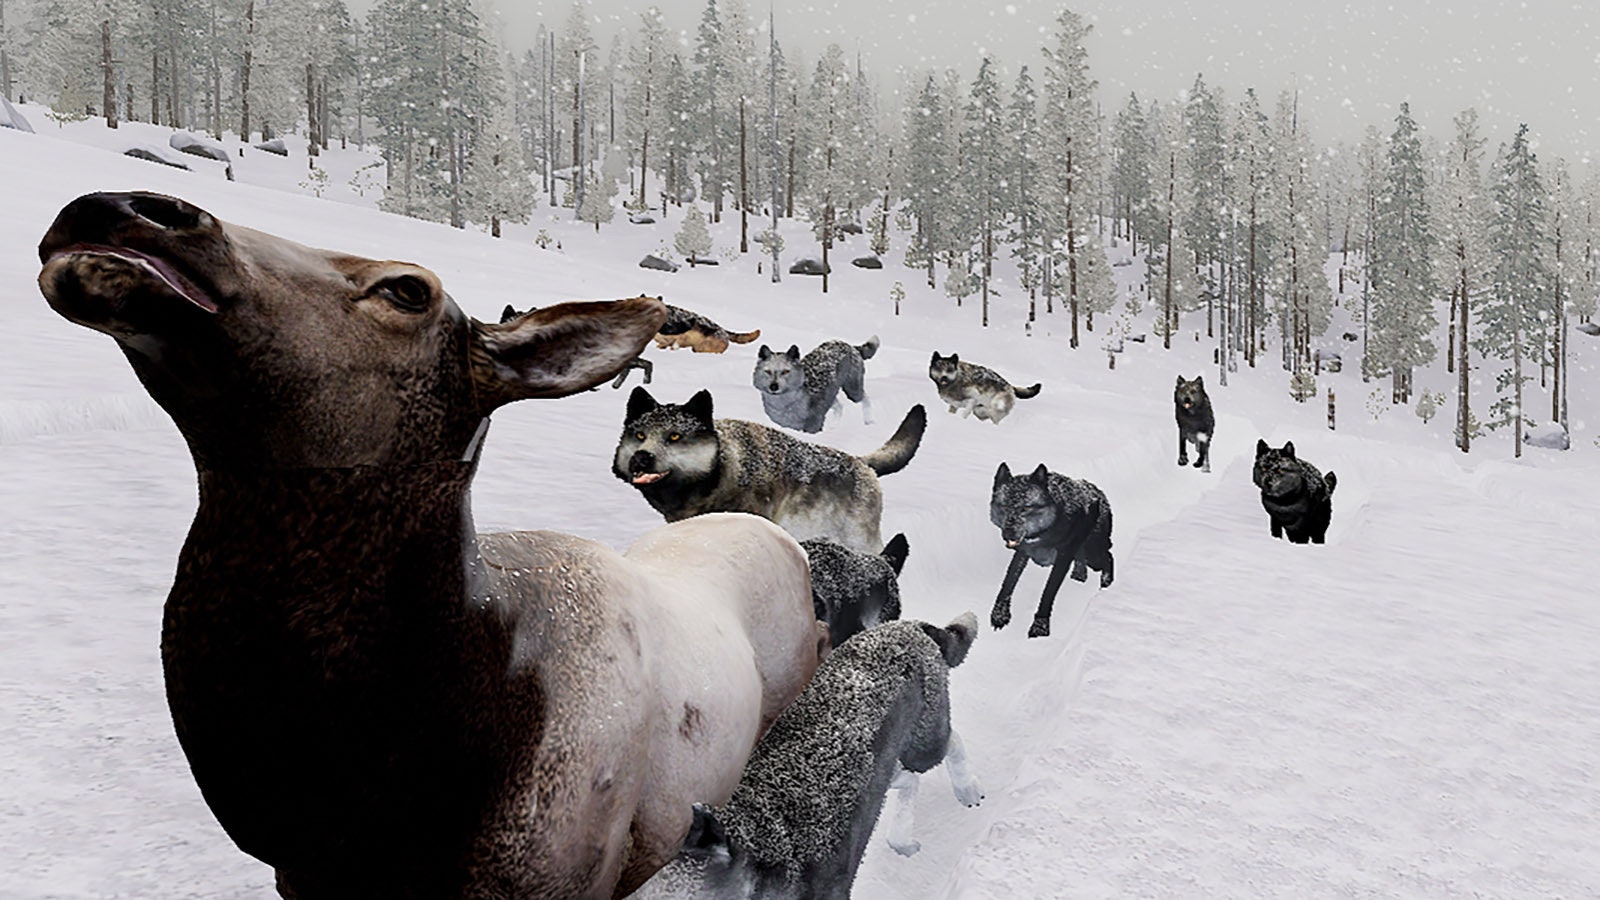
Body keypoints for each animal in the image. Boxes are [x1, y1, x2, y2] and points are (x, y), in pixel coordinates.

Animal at [633, 615, 980, 900]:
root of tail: (912, 626)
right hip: (885, 764)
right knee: (907, 780)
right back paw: (902, 839)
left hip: (925, 739)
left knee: (949, 742)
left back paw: (968, 791)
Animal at [989, 463, 1115, 638]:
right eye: (1005, 506)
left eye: (1027, 507)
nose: (1009, 534)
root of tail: (1099, 492)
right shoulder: (1023, 551)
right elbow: (1009, 581)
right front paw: (999, 615)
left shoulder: (1063, 557)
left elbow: (1048, 591)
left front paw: (1040, 627)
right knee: (1084, 560)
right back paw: (1079, 576)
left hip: (1094, 555)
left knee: (1108, 556)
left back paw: (1106, 584)